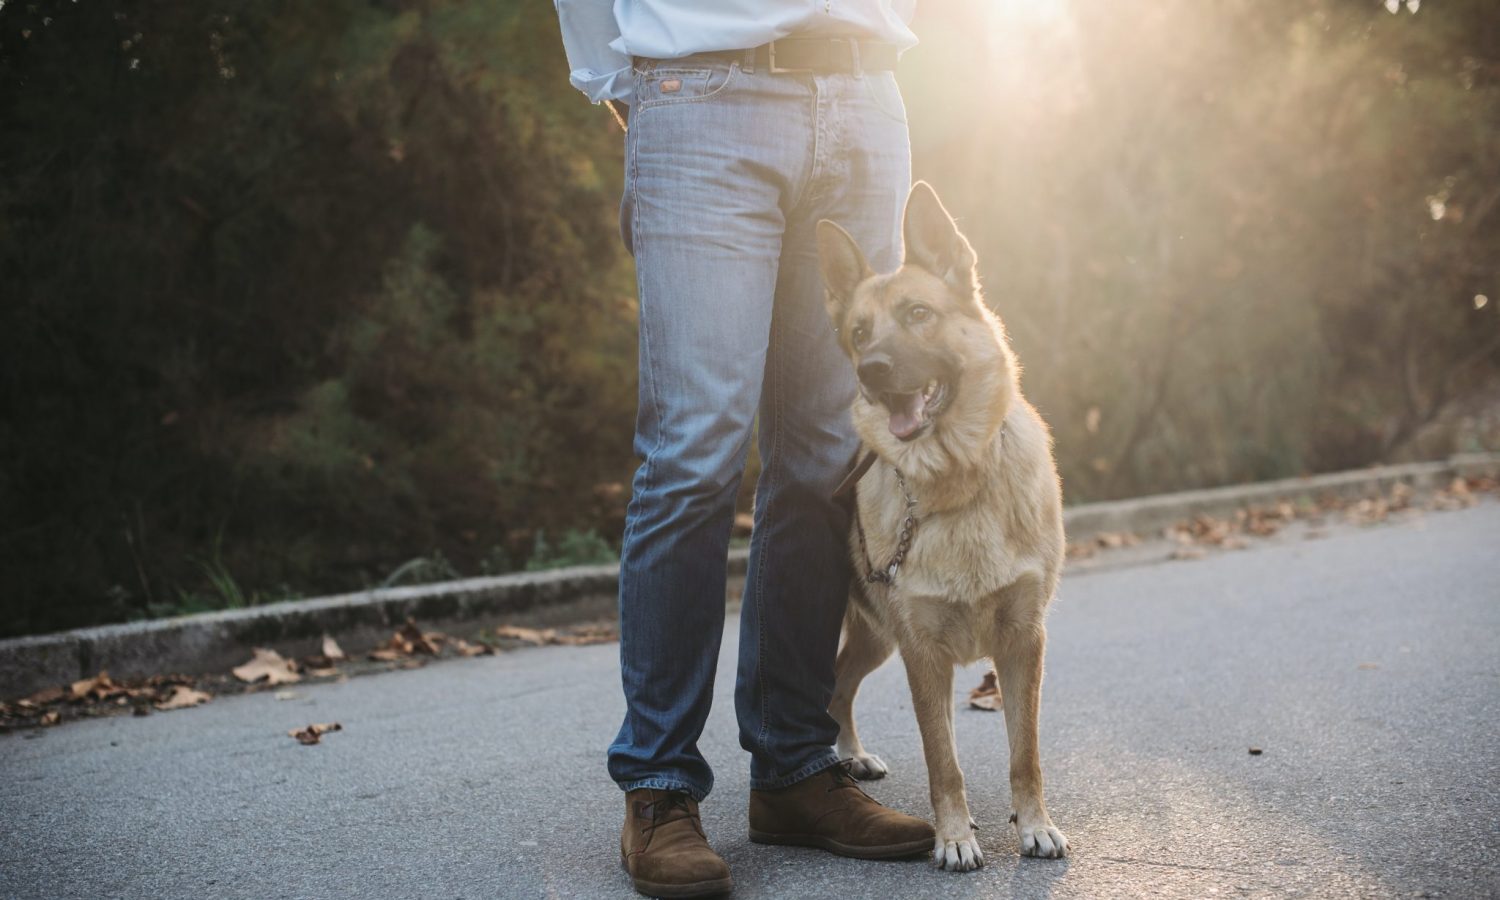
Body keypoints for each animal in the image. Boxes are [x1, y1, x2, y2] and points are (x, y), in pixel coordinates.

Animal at [816, 184, 1074, 870]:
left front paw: (1034, 825)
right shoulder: (922, 654)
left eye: (918, 314)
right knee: (827, 688)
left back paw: (850, 754)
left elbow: (1024, 753)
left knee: (839, 687)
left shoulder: (1023, 642)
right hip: (873, 635)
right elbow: (944, 760)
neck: (959, 483)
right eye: (859, 333)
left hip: (876, 641)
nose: (872, 370)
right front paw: (954, 836)